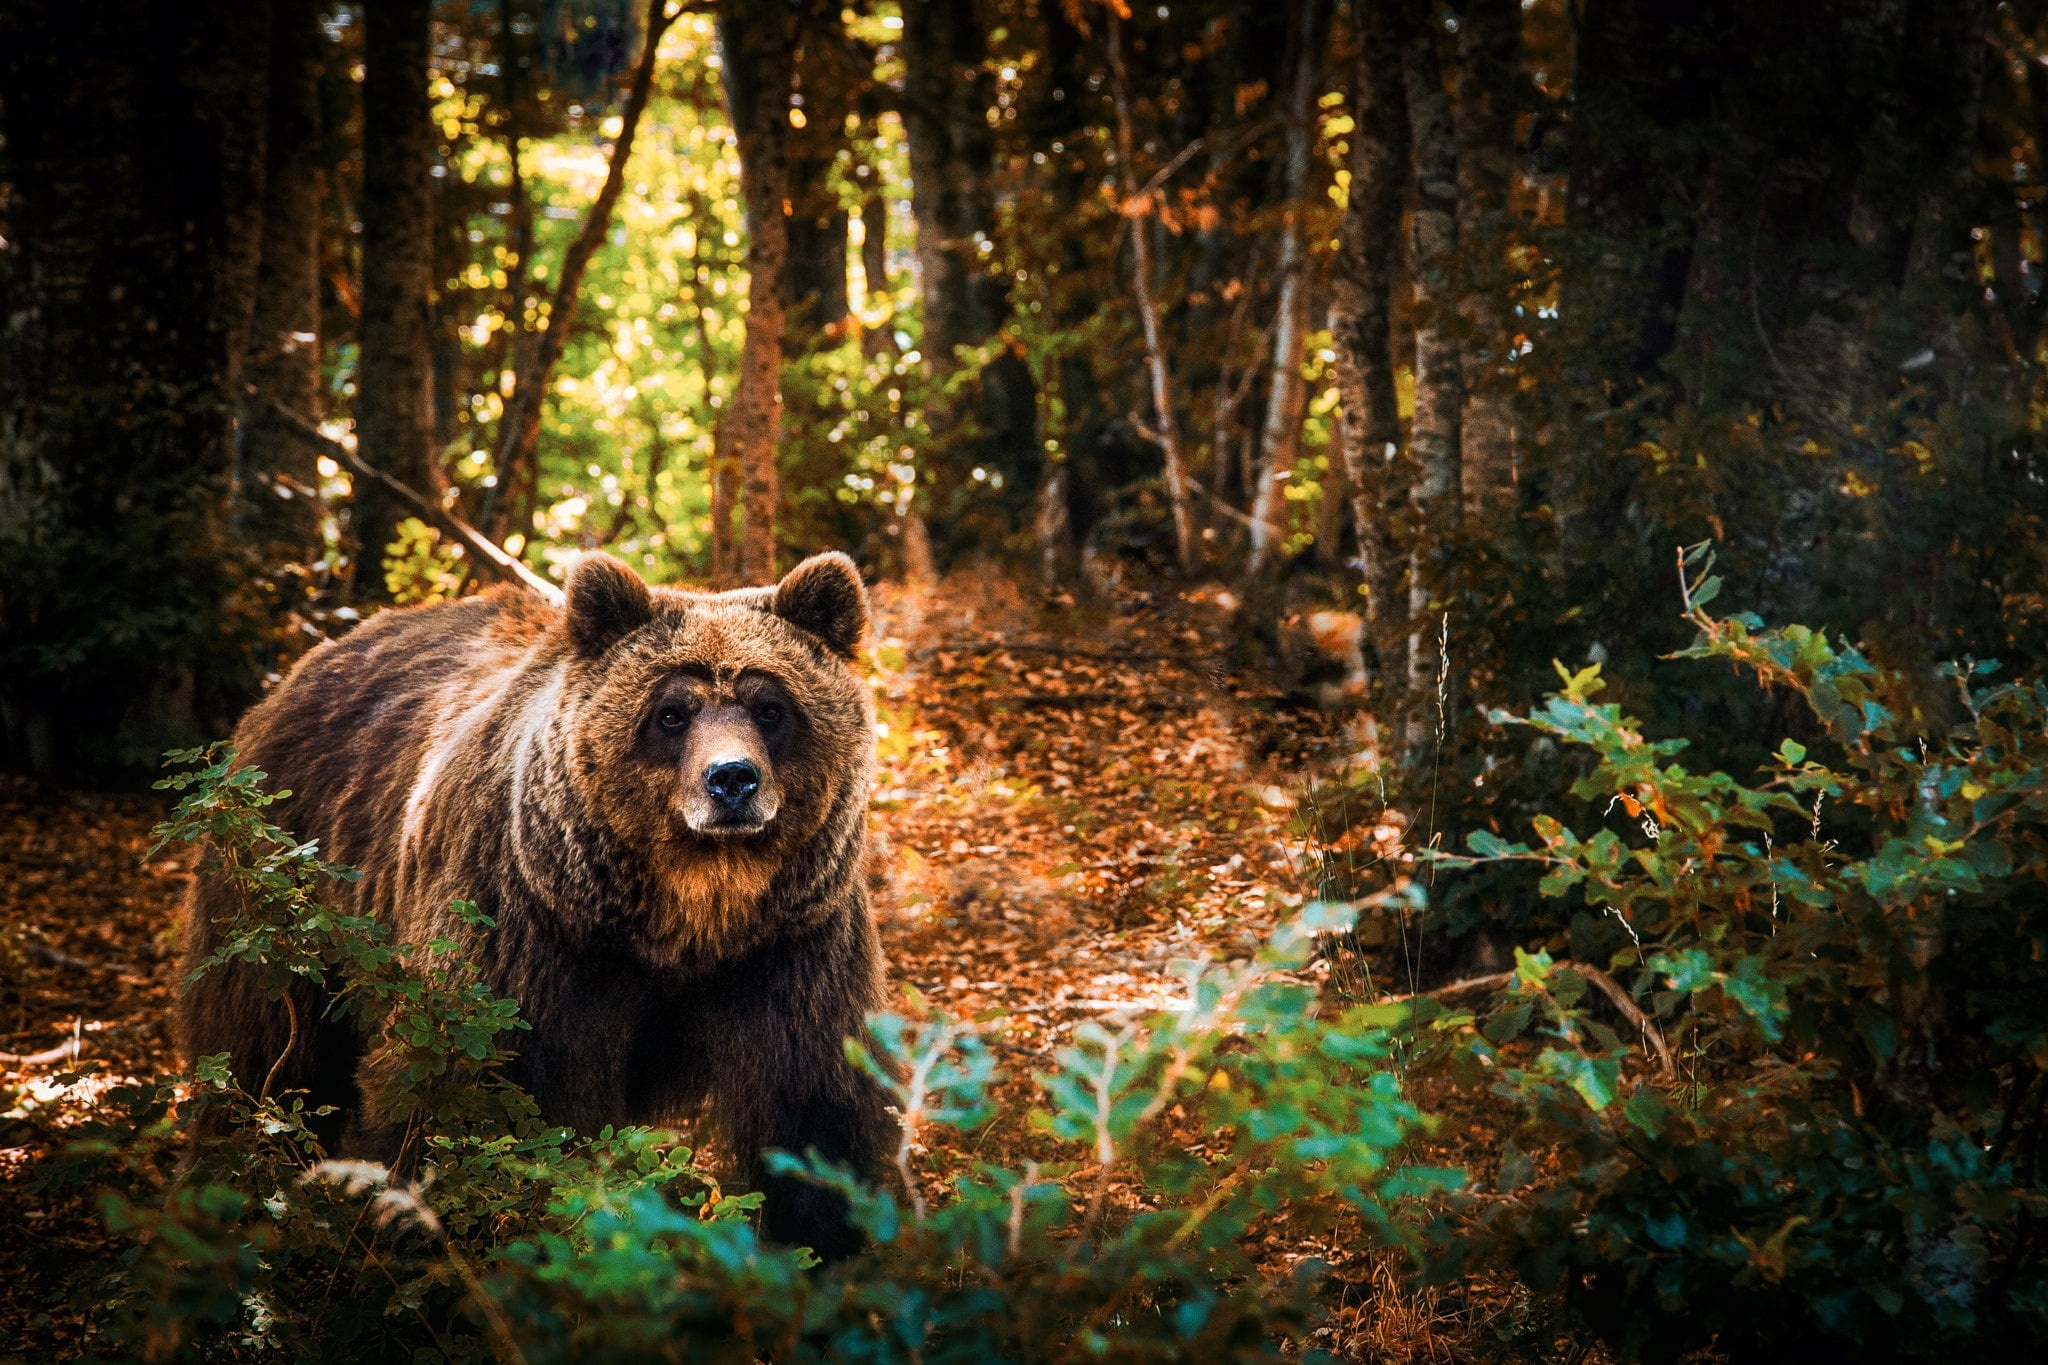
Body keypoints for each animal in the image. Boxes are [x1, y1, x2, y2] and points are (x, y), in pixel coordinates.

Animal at [176, 550, 891, 1259]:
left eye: (770, 707)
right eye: (671, 712)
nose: (732, 779)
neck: (686, 918)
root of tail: (313, 658)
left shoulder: (792, 944)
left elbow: (817, 1109)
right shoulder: (525, 934)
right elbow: (469, 1094)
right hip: (284, 883)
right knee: (261, 1046)